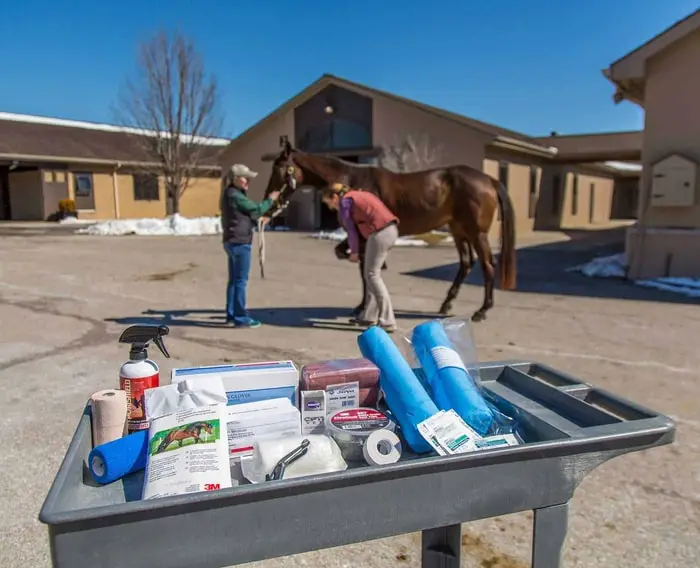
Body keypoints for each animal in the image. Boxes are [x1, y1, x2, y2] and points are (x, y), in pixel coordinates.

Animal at [266, 140, 516, 322]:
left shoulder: (362, 235)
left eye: (279, 169)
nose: (270, 199)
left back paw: (481, 311)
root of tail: (489, 179)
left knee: (487, 265)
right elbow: (356, 263)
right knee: (466, 263)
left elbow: (364, 273)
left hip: (476, 233)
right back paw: (446, 305)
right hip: (458, 230)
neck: (351, 181)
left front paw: (362, 308)